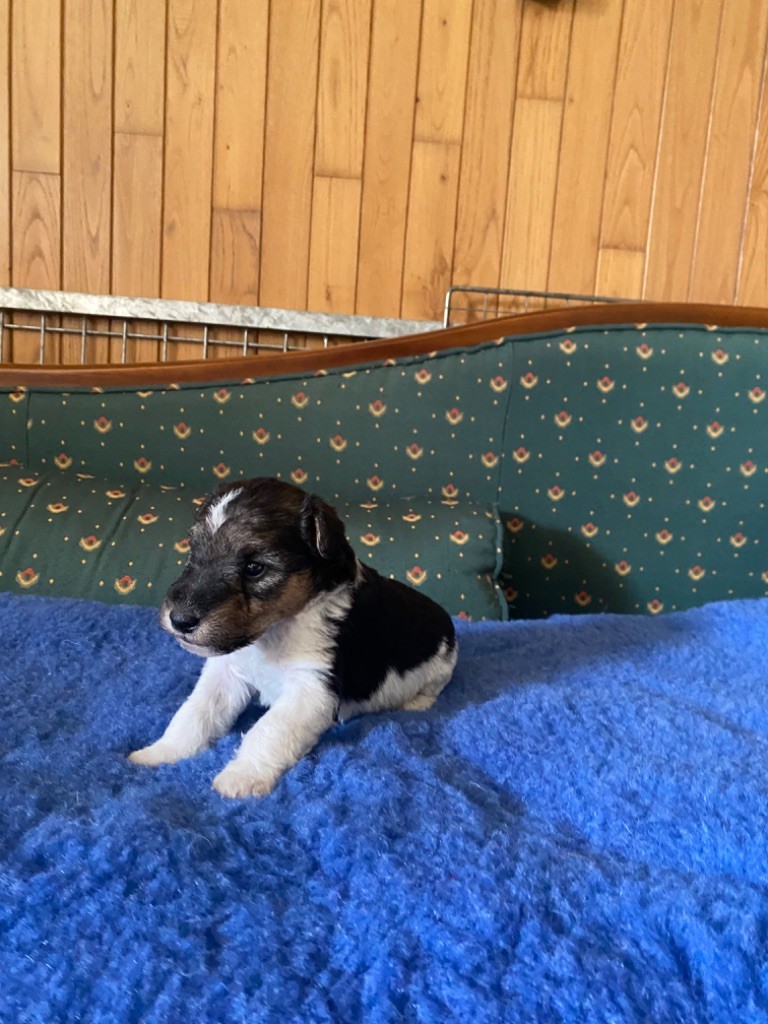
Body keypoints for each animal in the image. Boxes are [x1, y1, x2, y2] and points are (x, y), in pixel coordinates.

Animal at [129, 477, 457, 798]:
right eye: (193, 550)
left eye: (255, 568)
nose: (180, 620)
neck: (275, 630)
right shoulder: (226, 671)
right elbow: (195, 712)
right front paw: (159, 753)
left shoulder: (312, 687)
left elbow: (269, 729)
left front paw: (241, 777)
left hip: (439, 669)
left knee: (431, 691)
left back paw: (414, 704)